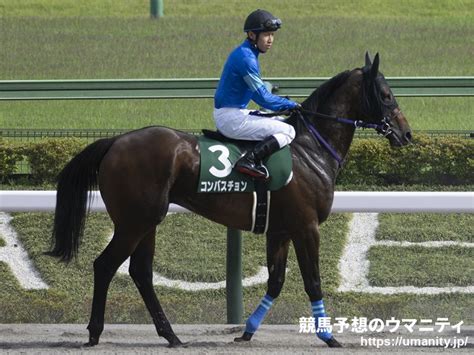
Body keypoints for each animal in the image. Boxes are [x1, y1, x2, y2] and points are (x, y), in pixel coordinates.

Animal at [48, 52, 412, 348]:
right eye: (385, 94)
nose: (406, 134)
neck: (310, 149)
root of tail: (114, 142)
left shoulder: (279, 229)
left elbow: (276, 281)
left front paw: (247, 331)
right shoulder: (306, 226)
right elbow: (312, 281)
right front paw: (328, 335)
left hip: (146, 221)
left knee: (140, 272)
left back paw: (171, 335)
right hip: (134, 221)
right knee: (105, 265)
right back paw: (95, 333)